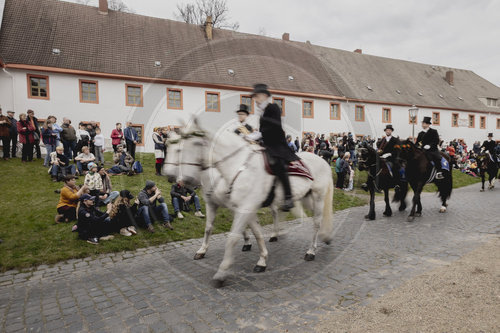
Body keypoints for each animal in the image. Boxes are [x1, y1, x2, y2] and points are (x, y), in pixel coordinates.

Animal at [166, 118, 334, 284]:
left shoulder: (243, 207)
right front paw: (260, 258)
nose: (177, 178)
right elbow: (227, 229)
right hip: (305, 197)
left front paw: (223, 269)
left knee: (316, 222)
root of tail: (322, 161)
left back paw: (311, 251)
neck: (236, 167)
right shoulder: (222, 205)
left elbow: (234, 236)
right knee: (286, 214)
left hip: (318, 197)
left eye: (195, 143)